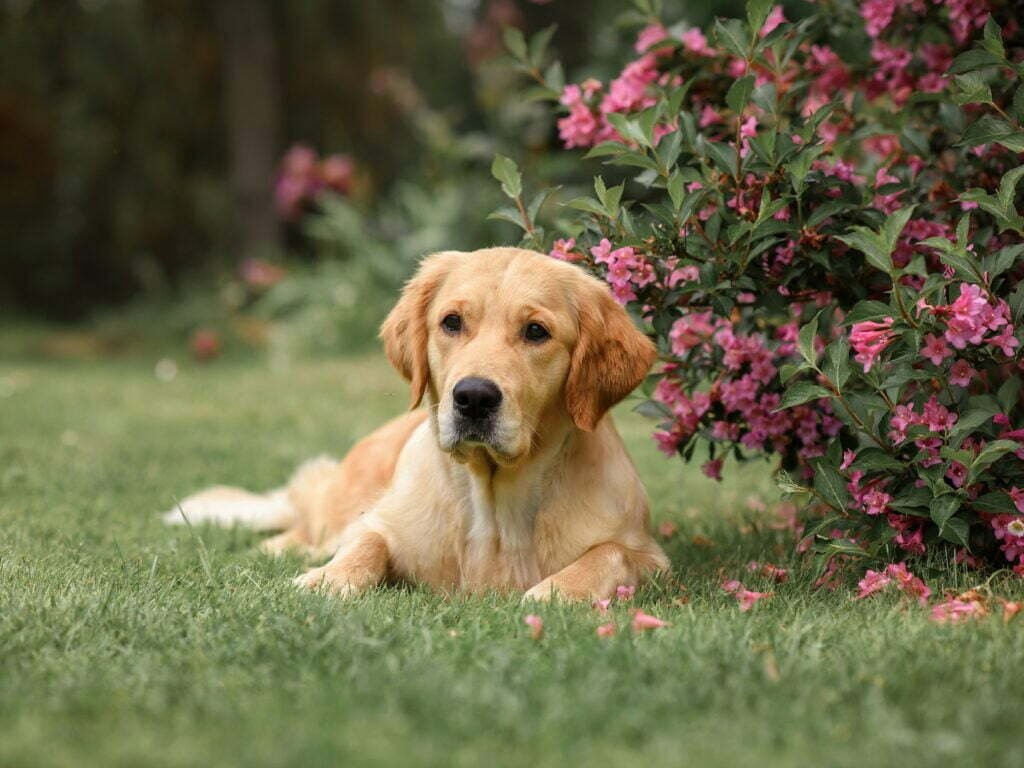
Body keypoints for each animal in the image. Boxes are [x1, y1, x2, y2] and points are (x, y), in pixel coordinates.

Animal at [163, 249, 667, 606]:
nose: (474, 398)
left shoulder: (650, 556)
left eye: (536, 331)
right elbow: (364, 544)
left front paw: (557, 591)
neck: (493, 506)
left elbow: (609, 553)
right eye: (452, 322)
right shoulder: (378, 524)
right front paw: (327, 580)